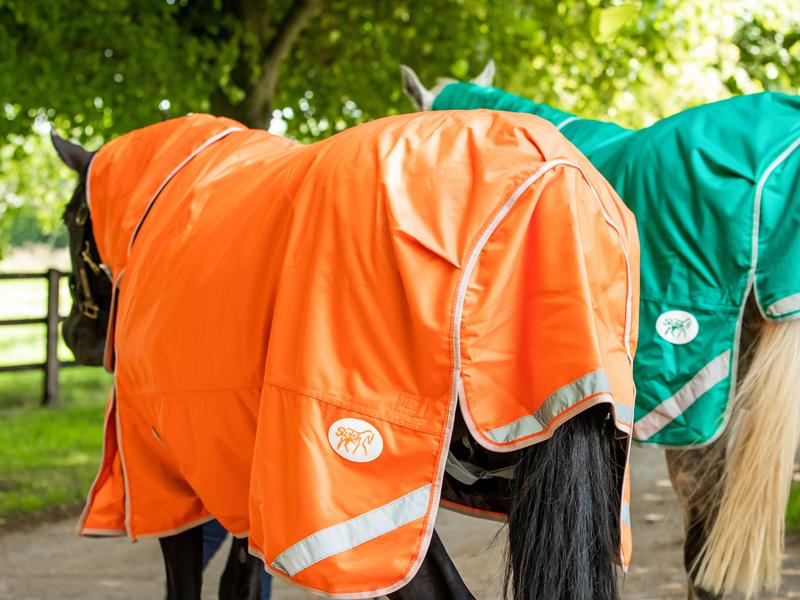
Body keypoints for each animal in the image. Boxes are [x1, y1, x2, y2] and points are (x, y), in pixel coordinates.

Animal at [51, 107, 638, 600]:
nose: (71, 333)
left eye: (68, 218)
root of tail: (554, 178)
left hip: (375, 519)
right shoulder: (241, 482)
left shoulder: (165, 474)